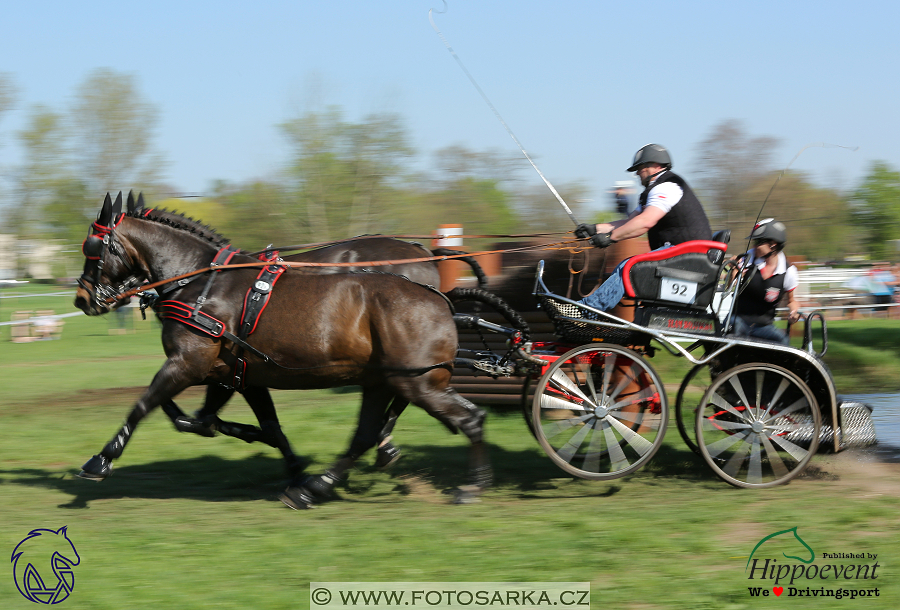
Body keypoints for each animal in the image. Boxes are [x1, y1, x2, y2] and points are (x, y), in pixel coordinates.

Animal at [73, 194, 488, 504]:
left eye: (93, 248)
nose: (82, 299)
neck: (199, 282)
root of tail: (431, 280)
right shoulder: (240, 373)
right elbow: (257, 425)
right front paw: (291, 466)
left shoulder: (189, 363)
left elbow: (144, 404)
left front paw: (102, 460)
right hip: (386, 377)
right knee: (376, 426)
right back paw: (330, 478)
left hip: (411, 378)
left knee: (443, 415)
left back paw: (458, 479)